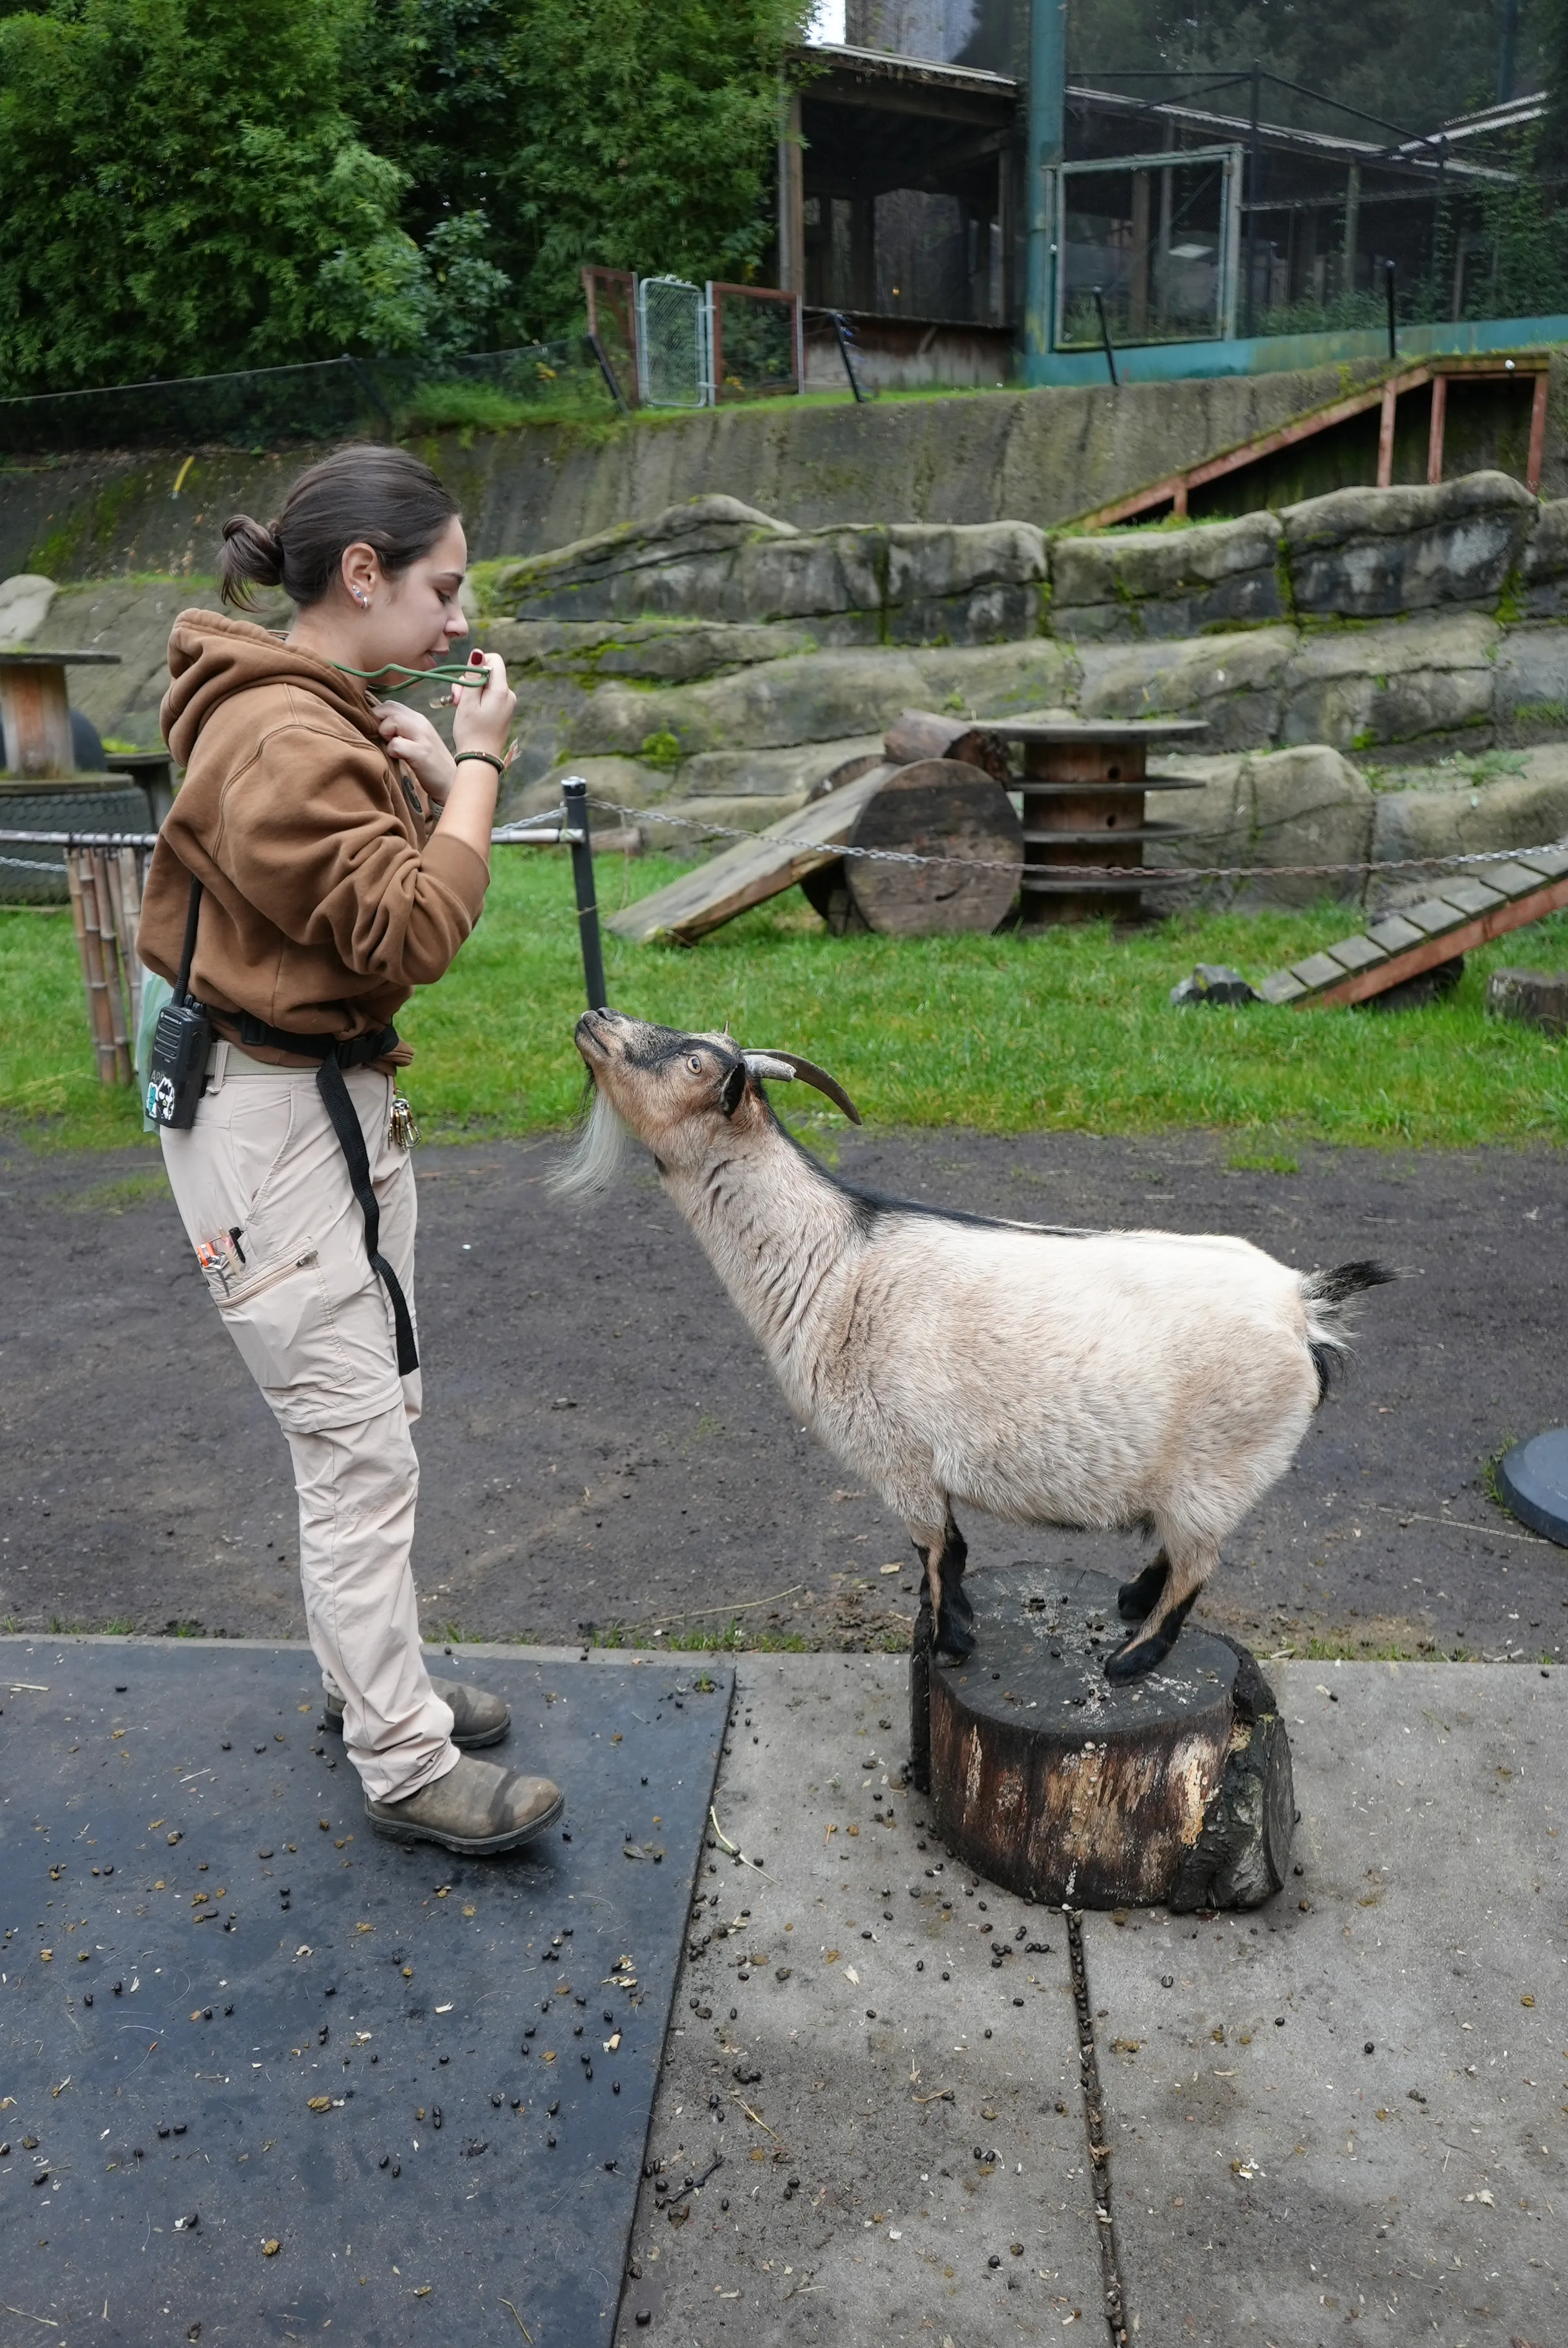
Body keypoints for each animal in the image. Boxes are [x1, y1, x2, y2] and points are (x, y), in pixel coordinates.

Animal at [555, 1010, 1390, 1681]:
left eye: (694, 1063)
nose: (595, 1017)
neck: (831, 1264)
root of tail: (1303, 1305)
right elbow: (949, 1549)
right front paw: (950, 1631)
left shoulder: (899, 1456)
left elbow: (936, 1552)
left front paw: (947, 1642)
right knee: (1179, 1554)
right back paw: (1129, 1598)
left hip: (1219, 1470)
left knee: (1198, 1567)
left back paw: (1132, 1658)